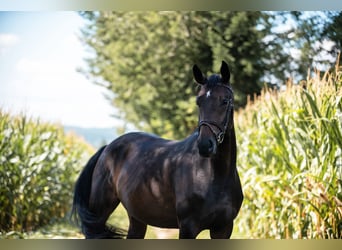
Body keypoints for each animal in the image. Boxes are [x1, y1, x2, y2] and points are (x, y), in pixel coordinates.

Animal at [71, 60, 243, 238]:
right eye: (198, 102)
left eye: (225, 101)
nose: (204, 145)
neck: (214, 176)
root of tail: (106, 149)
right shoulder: (188, 228)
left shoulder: (223, 228)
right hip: (99, 213)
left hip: (137, 218)